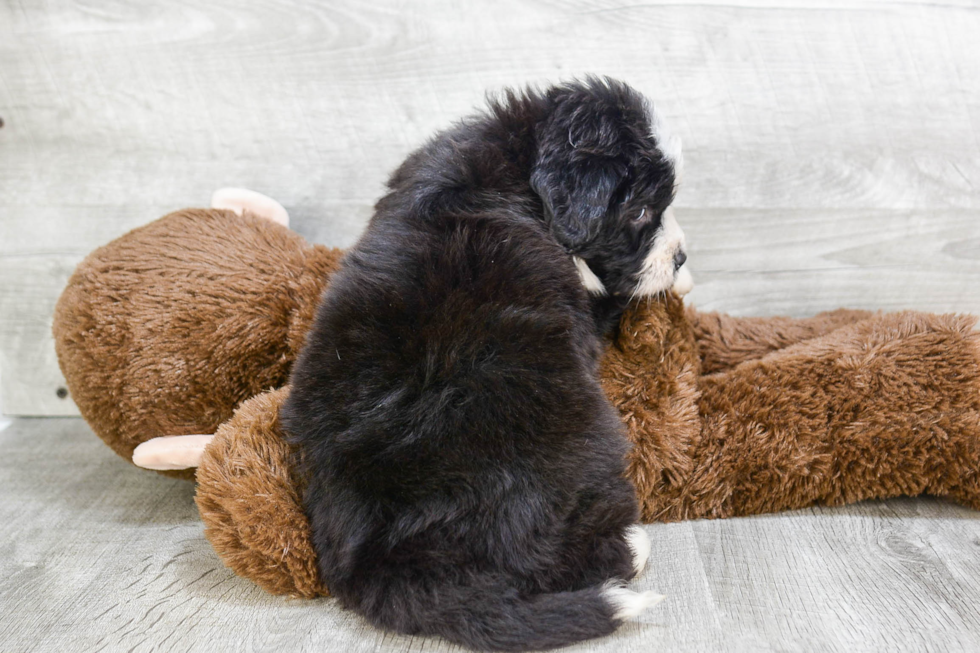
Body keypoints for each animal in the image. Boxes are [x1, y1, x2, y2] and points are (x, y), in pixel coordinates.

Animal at [280, 77, 684, 652]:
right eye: (641, 213)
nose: (682, 257)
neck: (517, 166)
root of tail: (378, 563)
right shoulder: (586, 301)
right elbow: (612, 296)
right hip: (578, 434)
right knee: (546, 558)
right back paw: (629, 546)